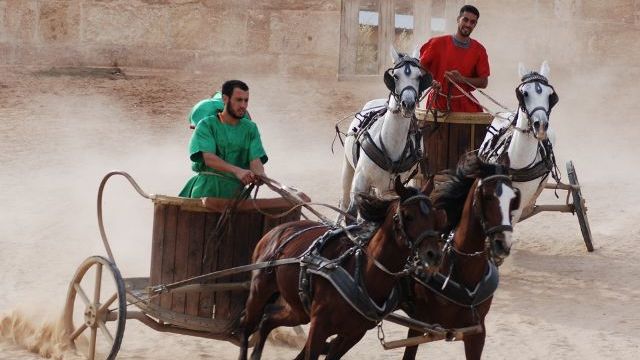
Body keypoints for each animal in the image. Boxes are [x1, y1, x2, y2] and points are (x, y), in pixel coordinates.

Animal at [239, 178, 444, 360]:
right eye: (408, 216)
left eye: (435, 217)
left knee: (268, 320)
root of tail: (278, 231)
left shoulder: (353, 334)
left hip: (298, 310)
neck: (361, 274)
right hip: (259, 292)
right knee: (247, 326)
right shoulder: (319, 327)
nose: (433, 255)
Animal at [340, 47, 430, 222]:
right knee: (344, 202)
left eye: (419, 76)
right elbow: (352, 214)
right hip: (348, 169)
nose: (408, 104)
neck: (391, 144)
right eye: (395, 76)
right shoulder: (360, 182)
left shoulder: (393, 189)